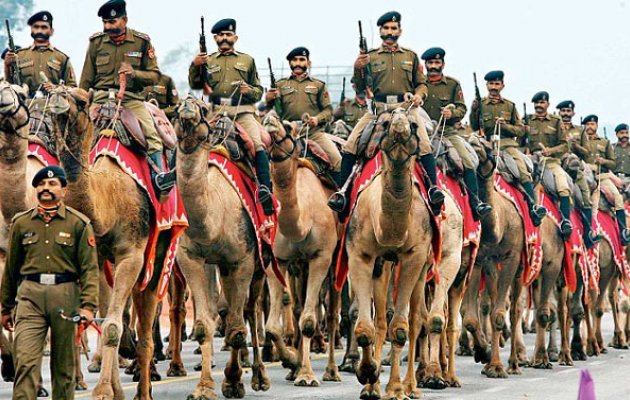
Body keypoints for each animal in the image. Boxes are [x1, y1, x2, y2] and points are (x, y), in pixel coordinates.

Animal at [173, 95, 270, 400]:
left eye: (202, 109)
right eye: (176, 109)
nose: (188, 105)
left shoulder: (241, 260)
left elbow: (237, 330)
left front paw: (234, 382)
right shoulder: (192, 259)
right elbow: (204, 326)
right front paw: (204, 388)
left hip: (260, 261)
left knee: (251, 310)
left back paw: (261, 376)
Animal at [262, 114, 341, 385]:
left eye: (286, 126)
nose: (270, 120)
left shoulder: (320, 257)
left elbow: (308, 320)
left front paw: (306, 375)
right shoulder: (279, 259)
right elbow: (273, 327)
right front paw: (292, 361)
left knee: (331, 312)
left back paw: (332, 371)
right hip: (300, 265)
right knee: (298, 307)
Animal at [340, 108, 462, 400]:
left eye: (414, 125)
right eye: (384, 124)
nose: (399, 124)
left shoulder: (416, 258)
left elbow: (402, 327)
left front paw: (396, 388)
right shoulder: (361, 255)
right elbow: (366, 328)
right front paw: (368, 374)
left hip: (426, 268)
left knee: (419, 320)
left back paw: (417, 383)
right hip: (385, 266)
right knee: (383, 320)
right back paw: (377, 385)